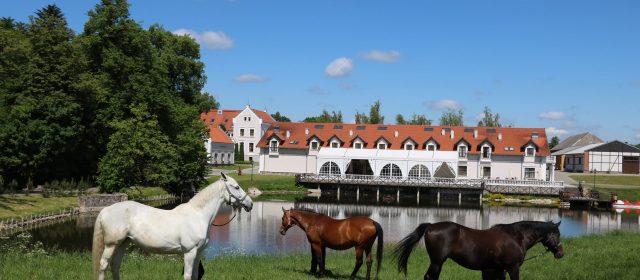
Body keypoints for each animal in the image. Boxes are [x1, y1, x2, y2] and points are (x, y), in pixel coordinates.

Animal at [92, 173, 252, 280]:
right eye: (236, 187)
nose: (250, 203)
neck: (198, 215)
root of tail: (106, 209)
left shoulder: (198, 252)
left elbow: (195, 275)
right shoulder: (189, 252)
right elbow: (188, 275)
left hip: (122, 244)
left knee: (115, 265)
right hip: (111, 245)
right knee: (103, 265)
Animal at [392, 221, 564, 280]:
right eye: (557, 234)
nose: (561, 253)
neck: (516, 237)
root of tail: (431, 226)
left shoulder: (497, 269)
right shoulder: (512, 268)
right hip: (437, 262)